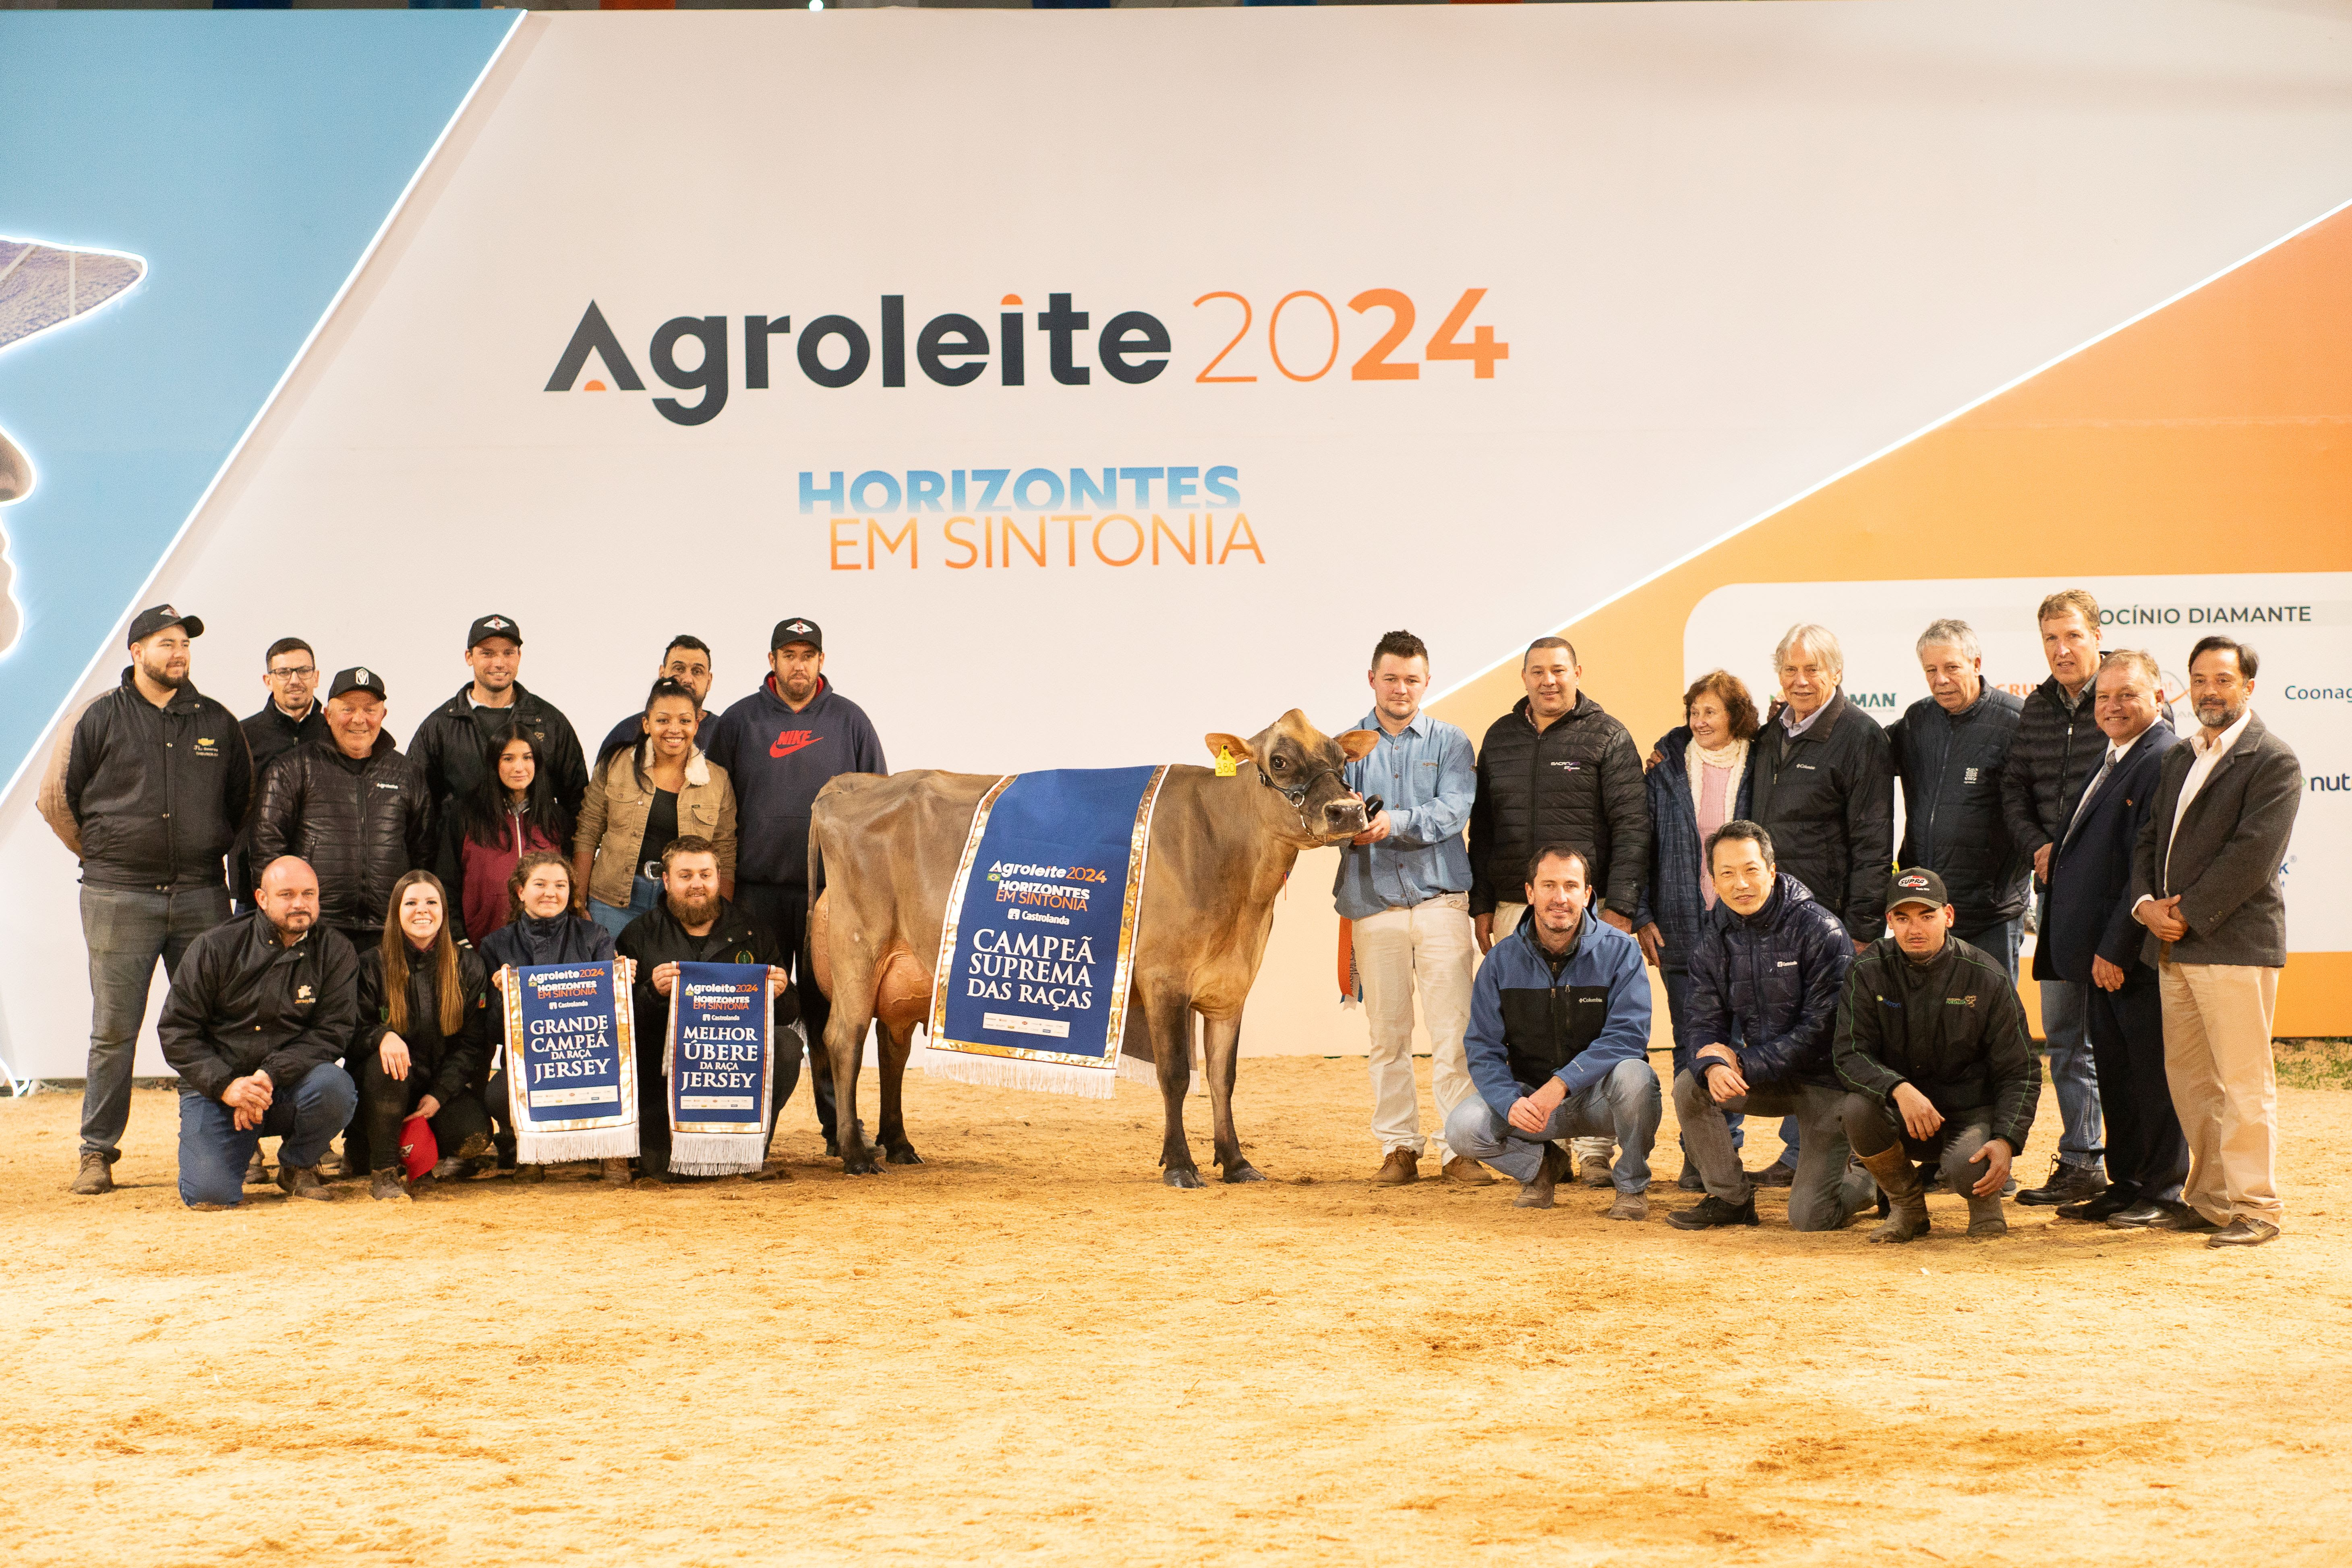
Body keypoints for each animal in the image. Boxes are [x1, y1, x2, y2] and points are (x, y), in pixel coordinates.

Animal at [809, 710, 1373, 1175]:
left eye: (1342, 758)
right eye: (1278, 760)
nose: (1348, 811)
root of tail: (848, 784)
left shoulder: (1230, 988)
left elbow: (1222, 1075)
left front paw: (1234, 1161)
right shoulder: (1163, 980)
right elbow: (1175, 1074)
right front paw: (1179, 1163)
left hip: (903, 972)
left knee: (892, 1045)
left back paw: (901, 1145)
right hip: (857, 948)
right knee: (843, 1038)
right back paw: (857, 1154)